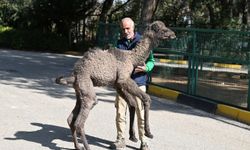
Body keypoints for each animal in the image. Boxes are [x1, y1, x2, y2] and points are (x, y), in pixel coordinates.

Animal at [55, 20, 175, 149]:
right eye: (162, 29)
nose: (173, 34)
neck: (132, 58)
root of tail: (75, 74)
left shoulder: (117, 84)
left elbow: (132, 104)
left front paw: (133, 136)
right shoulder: (123, 78)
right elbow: (146, 98)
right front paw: (149, 133)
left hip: (80, 91)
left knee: (70, 119)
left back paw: (78, 146)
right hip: (87, 88)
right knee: (79, 122)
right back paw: (87, 147)